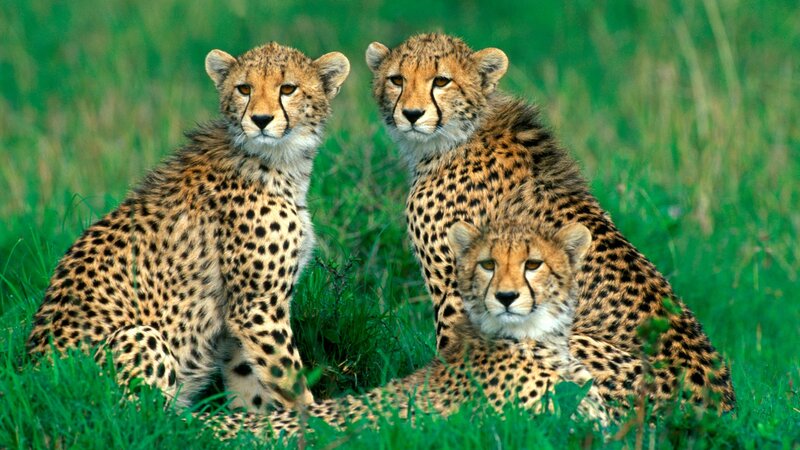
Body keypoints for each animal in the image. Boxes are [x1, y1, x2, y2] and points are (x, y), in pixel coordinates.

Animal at [26, 42, 350, 412]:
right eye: (244, 89)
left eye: (288, 88)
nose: (261, 120)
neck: (275, 159)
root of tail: (36, 389)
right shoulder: (257, 308)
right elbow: (290, 380)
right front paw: (316, 417)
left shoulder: (238, 318)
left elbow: (250, 383)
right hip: (139, 336)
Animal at [364, 32, 735, 412]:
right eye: (397, 79)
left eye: (441, 81)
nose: (411, 114)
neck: (457, 138)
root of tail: (719, 408)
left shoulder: (459, 290)